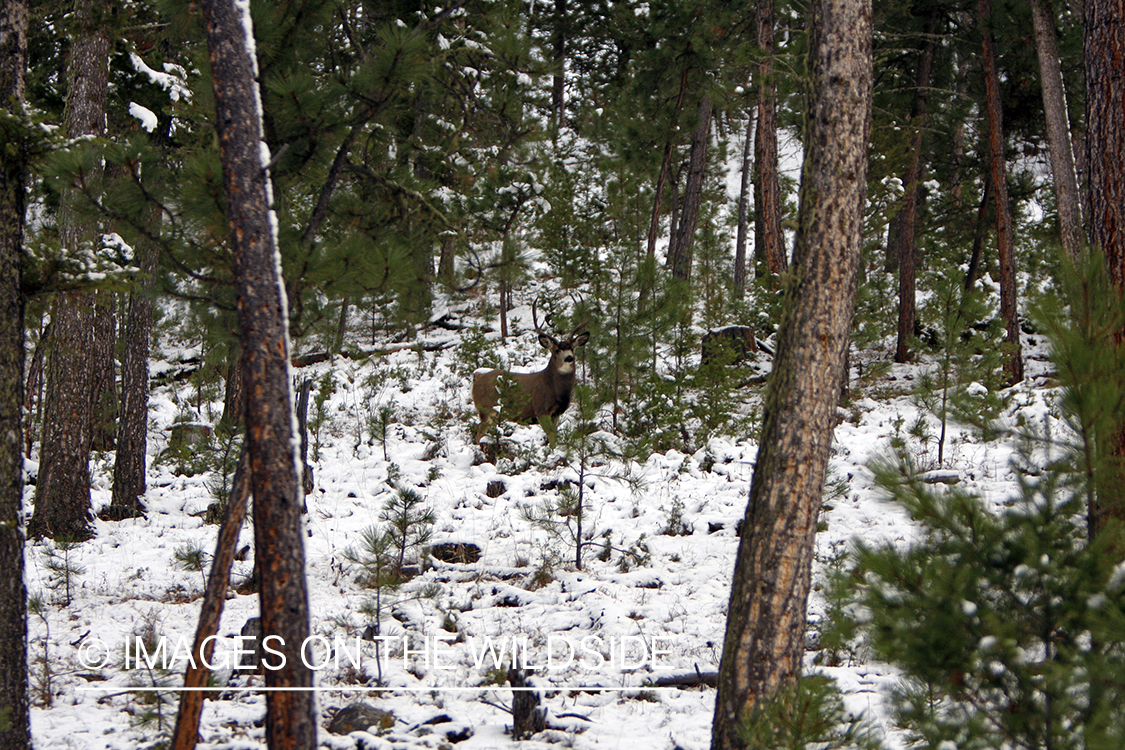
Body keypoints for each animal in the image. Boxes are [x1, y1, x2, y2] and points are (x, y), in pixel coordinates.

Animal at [471, 304, 590, 444]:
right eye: (556, 350)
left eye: (571, 348)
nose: (569, 358)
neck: (555, 389)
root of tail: (477, 380)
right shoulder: (541, 409)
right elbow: (551, 438)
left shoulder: (556, 414)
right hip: (486, 408)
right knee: (479, 431)